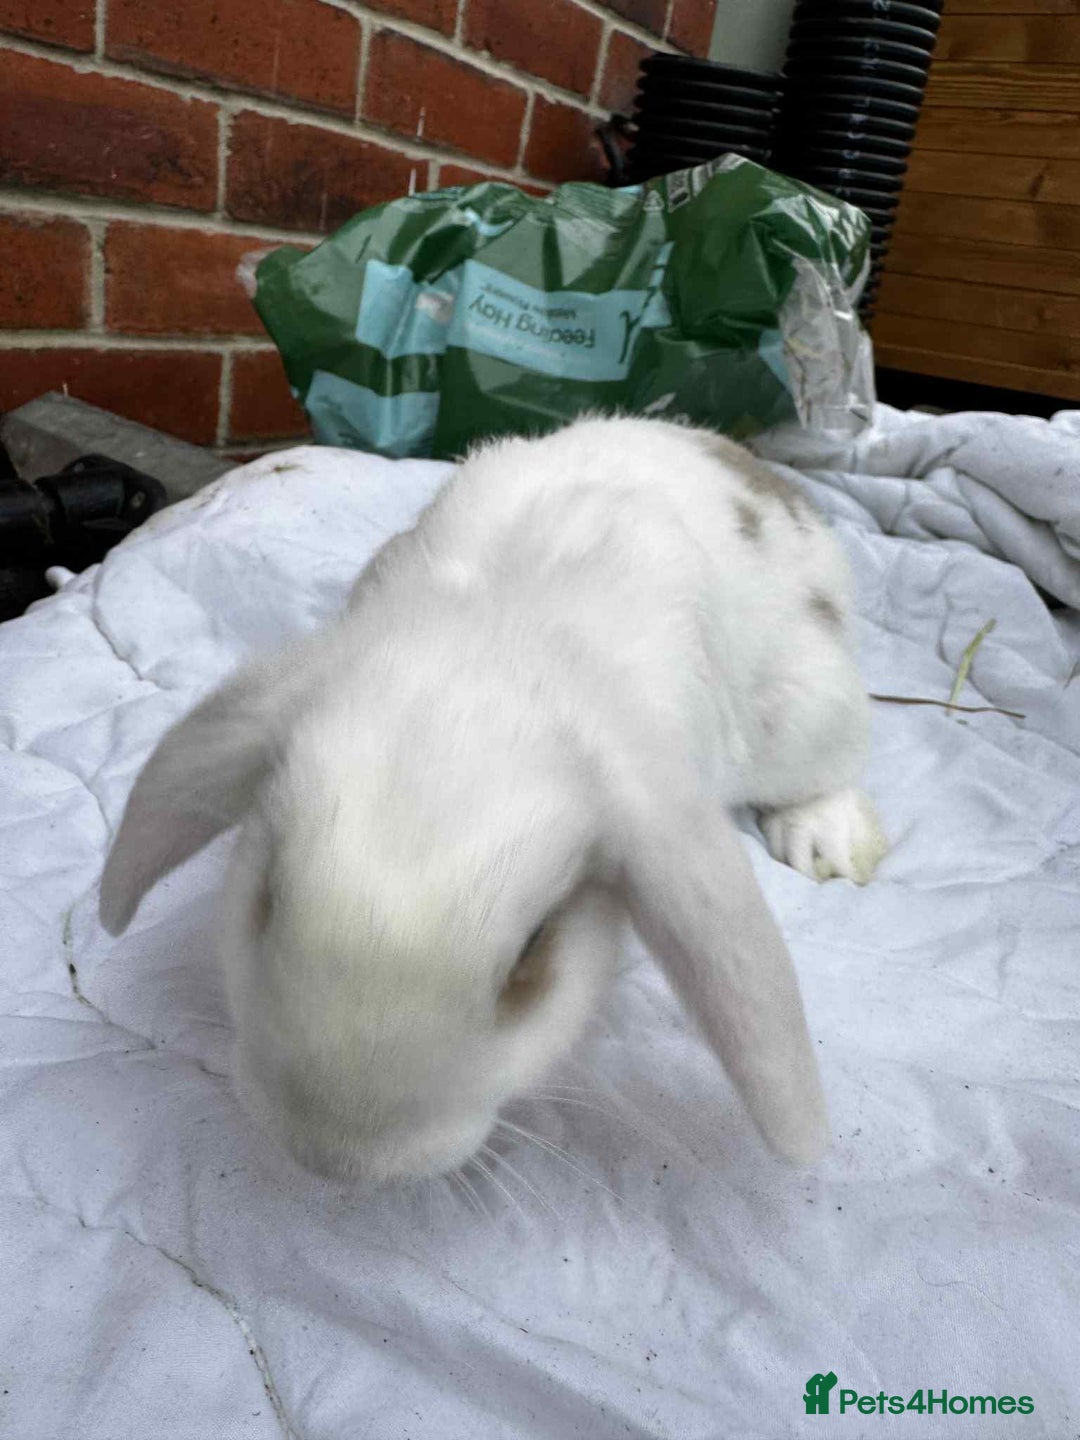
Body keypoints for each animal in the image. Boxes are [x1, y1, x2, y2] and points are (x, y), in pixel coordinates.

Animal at [99, 415, 888, 1186]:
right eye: (266, 895)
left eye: (533, 950)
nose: (335, 1157)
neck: (494, 659)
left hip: (809, 710)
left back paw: (826, 841)